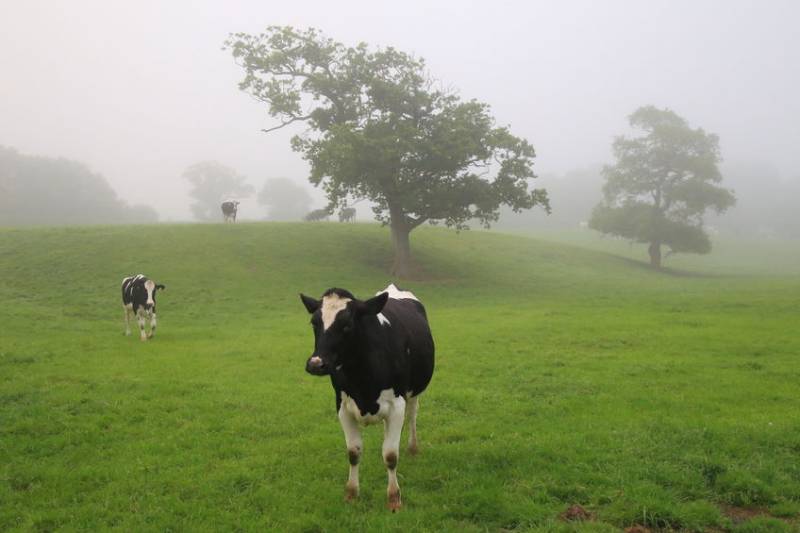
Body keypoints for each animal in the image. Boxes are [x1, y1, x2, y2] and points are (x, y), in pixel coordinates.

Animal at [300, 282, 434, 512]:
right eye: (314, 322)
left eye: (347, 325)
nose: (316, 364)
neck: (362, 379)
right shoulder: (343, 407)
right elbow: (354, 453)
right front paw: (351, 494)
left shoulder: (396, 404)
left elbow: (390, 455)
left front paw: (394, 499)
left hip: (414, 391)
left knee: (412, 416)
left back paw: (413, 447)